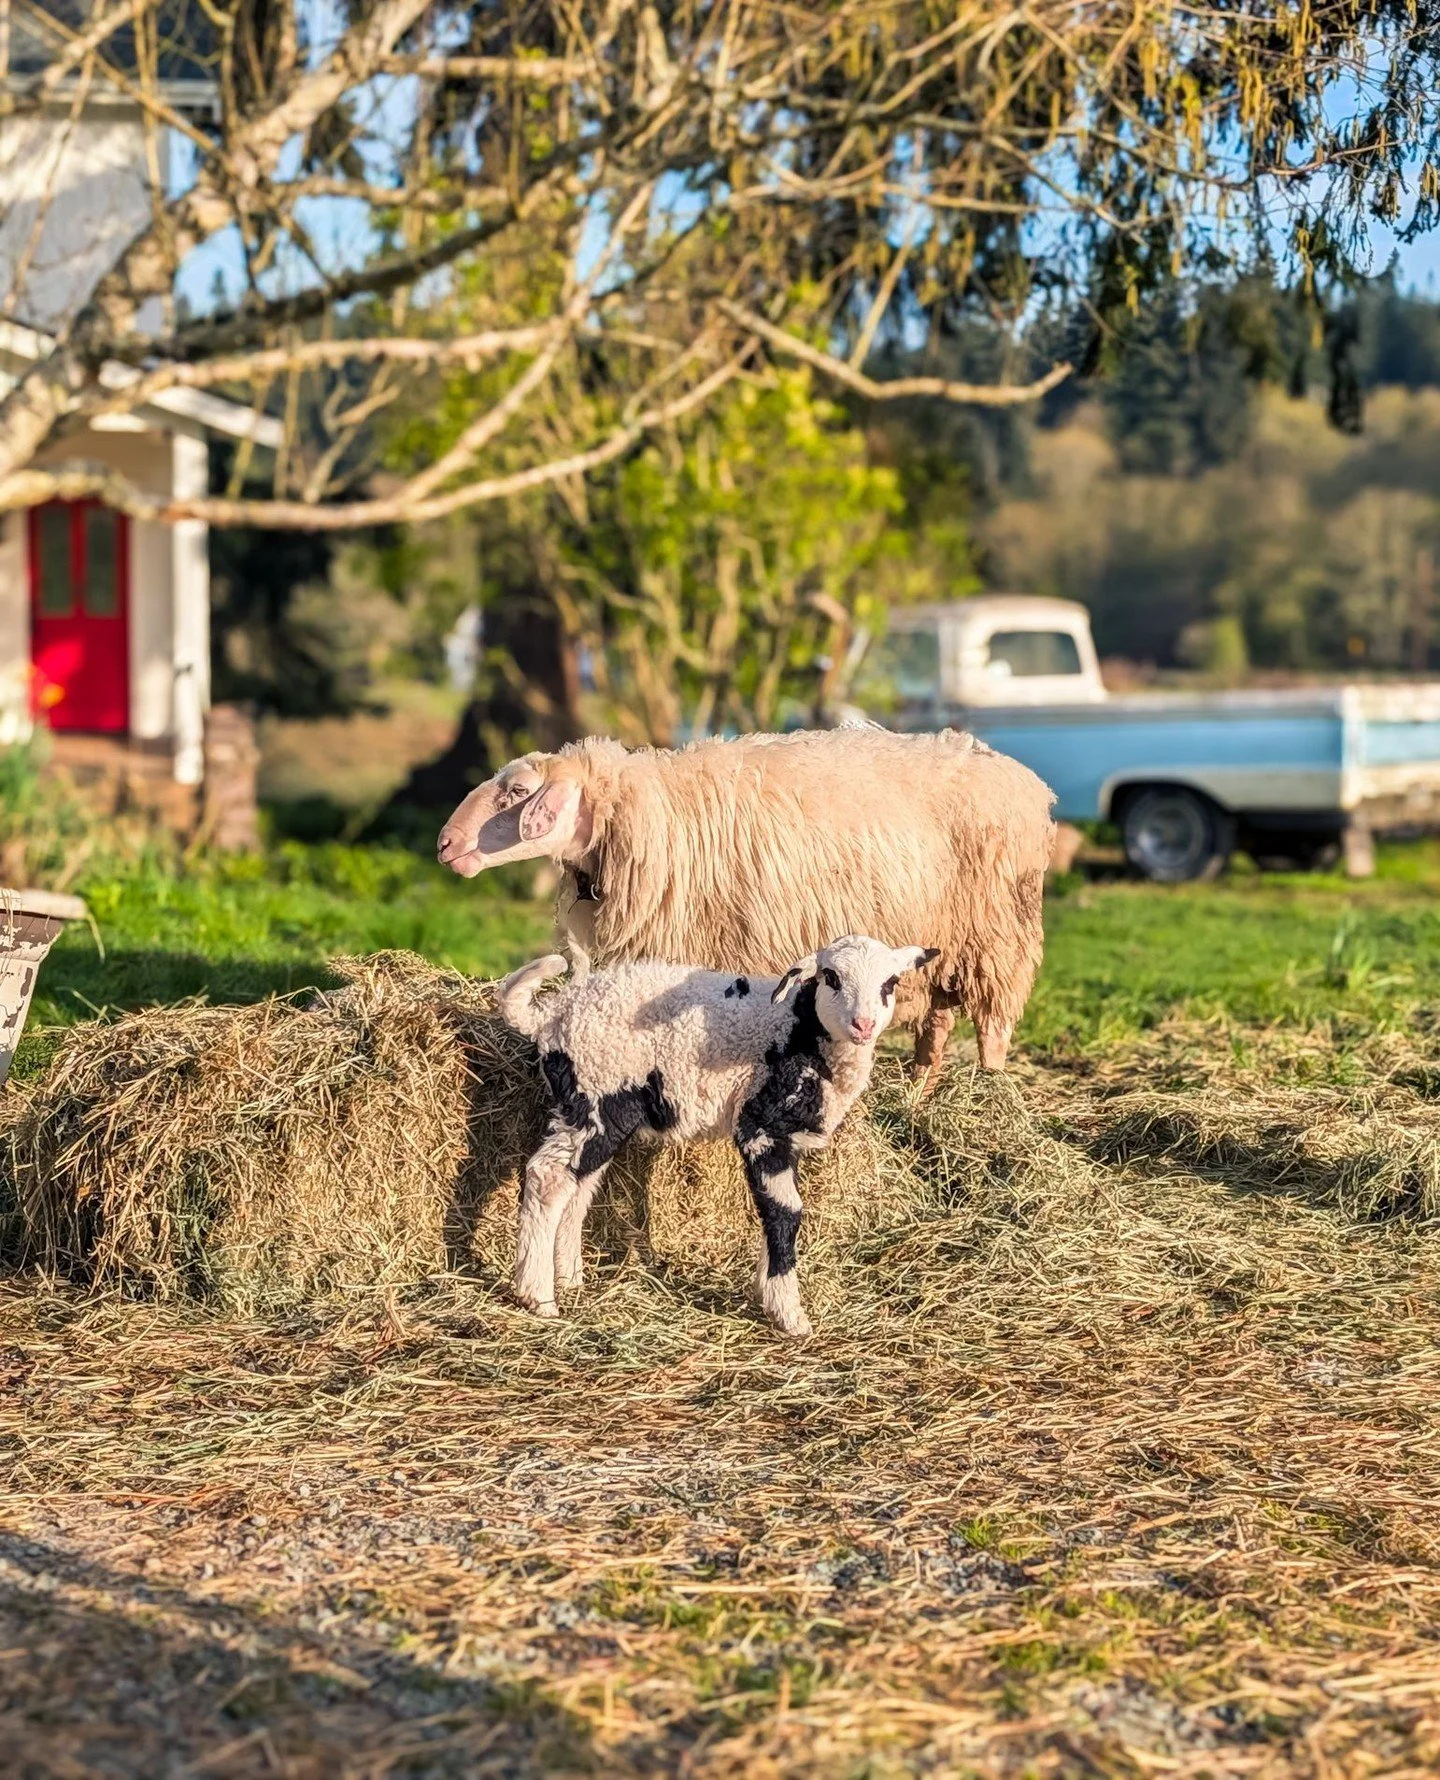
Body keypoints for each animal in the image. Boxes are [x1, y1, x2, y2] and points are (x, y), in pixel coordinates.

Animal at [439, 726, 1054, 1084]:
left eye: (518, 793)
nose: (445, 844)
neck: (652, 816)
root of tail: (1026, 779)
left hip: (1001, 934)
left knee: (994, 1027)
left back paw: (990, 1092)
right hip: (947, 945)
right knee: (938, 1027)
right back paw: (919, 1097)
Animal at [498, 935, 937, 1336]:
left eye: (890, 982)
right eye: (831, 977)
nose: (863, 1025)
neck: (800, 1031)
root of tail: (552, 1015)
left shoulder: (786, 1137)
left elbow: (773, 1209)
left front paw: (766, 1292)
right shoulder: (761, 1126)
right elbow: (785, 1210)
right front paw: (788, 1314)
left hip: (601, 1110)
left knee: (579, 1184)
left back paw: (570, 1278)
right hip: (598, 1092)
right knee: (549, 1177)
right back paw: (538, 1296)